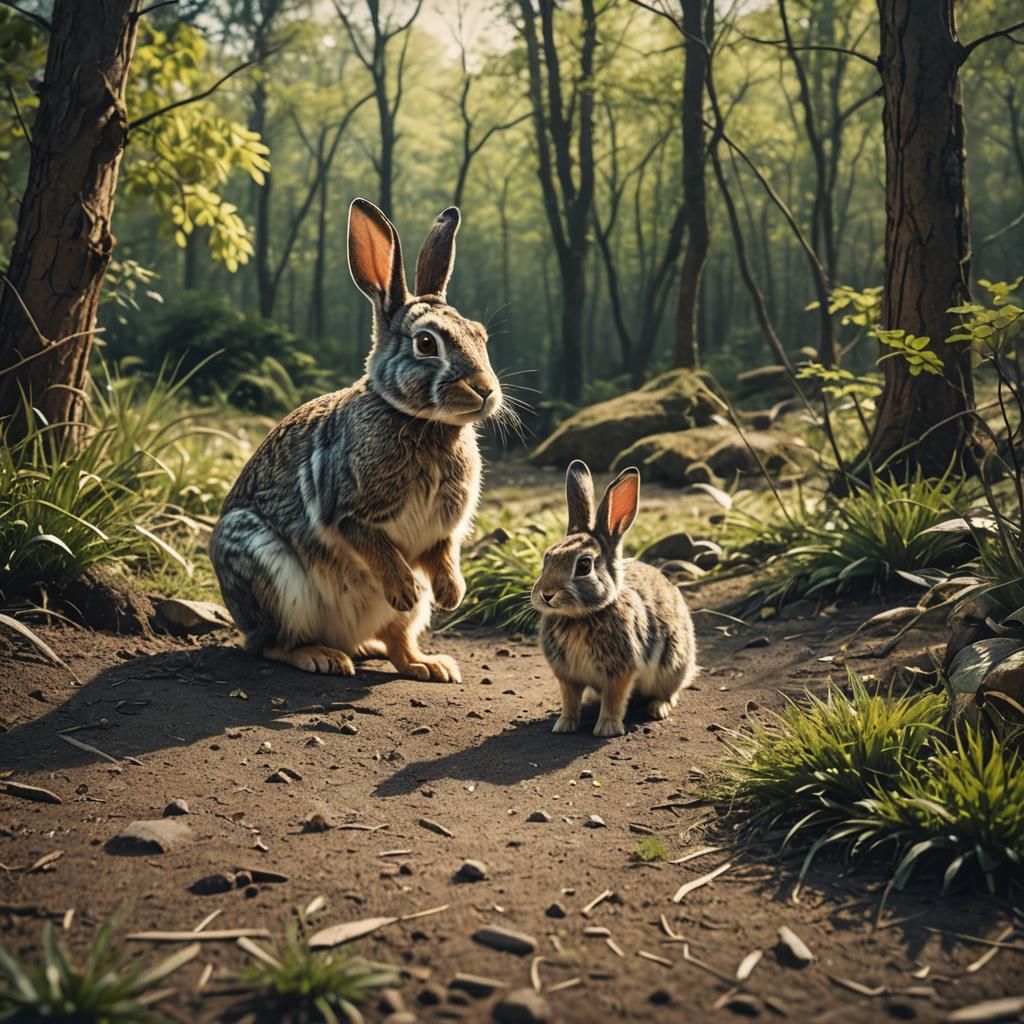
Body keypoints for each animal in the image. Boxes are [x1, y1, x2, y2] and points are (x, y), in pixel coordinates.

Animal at [209, 198, 503, 684]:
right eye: (426, 344)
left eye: (481, 336)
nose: (485, 390)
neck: (420, 421)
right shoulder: (347, 511)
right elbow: (373, 545)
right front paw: (404, 587)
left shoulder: (441, 532)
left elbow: (443, 553)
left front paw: (452, 593)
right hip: (267, 571)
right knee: (271, 644)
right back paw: (323, 657)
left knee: (398, 640)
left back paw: (426, 664)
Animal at [531, 461, 697, 737]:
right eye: (547, 559)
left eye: (584, 565)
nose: (546, 594)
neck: (580, 617)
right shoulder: (568, 676)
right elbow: (570, 700)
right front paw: (564, 724)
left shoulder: (620, 672)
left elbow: (614, 699)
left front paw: (607, 728)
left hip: (673, 664)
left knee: (669, 691)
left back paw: (658, 708)